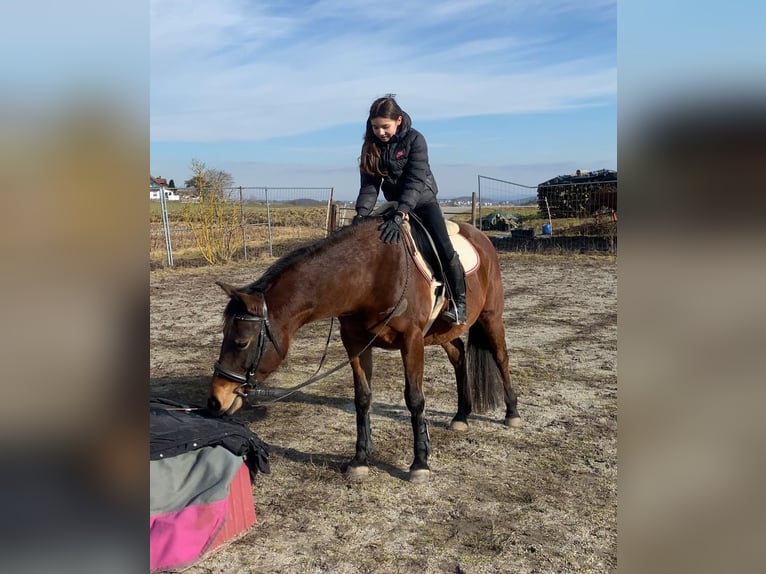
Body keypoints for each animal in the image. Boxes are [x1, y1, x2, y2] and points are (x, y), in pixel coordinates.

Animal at [210, 218, 520, 484]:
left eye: (241, 342)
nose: (216, 399)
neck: (370, 275)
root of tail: (482, 238)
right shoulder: (355, 344)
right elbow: (362, 398)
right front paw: (360, 459)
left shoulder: (412, 341)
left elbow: (414, 399)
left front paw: (420, 463)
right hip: (441, 332)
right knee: (458, 356)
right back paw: (461, 416)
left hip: (490, 317)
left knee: (501, 358)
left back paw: (511, 413)